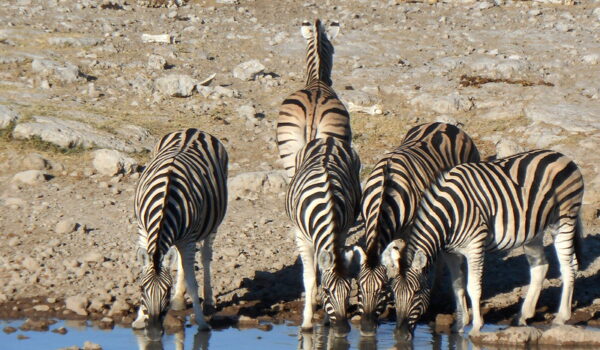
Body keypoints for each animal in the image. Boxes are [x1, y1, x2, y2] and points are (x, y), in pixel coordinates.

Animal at [131, 129, 227, 340]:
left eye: (166, 290)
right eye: (141, 289)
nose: (153, 333)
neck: (165, 200)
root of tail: (193, 130)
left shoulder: (189, 239)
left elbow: (192, 282)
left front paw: (202, 323)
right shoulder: (142, 229)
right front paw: (139, 319)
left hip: (211, 224)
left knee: (205, 256)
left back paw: (208, 301)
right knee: (181, 261)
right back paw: (179, 300)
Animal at [286, 136, 360, 336]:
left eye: (349, 291)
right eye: (326, 291)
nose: (342, 330)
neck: (329, 206)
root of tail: (329, 139)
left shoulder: (342, 233)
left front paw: (326, 321)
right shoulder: (301, 237)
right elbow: (310, 278)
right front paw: (307, 322)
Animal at [354, 123, 480, 336]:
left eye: (382, 289)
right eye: (359, 288)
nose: (367, 330)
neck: (386, 192)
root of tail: (446, 124)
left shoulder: (411, 229)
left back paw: (436, 292)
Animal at [382, 148, 584, 340]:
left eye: (417, 293)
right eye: (394, 293)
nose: (400, 335)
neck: (448, 215)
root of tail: (562, 156)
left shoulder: (475, 246)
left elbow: (473, 286)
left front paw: (476, 326)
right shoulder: (450, 253)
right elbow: (457, 286)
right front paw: (459, 325)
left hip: (564, 219)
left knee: (568, 266)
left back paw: (561, 317)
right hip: (533, 231)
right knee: (540, 266)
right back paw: (522, 316)